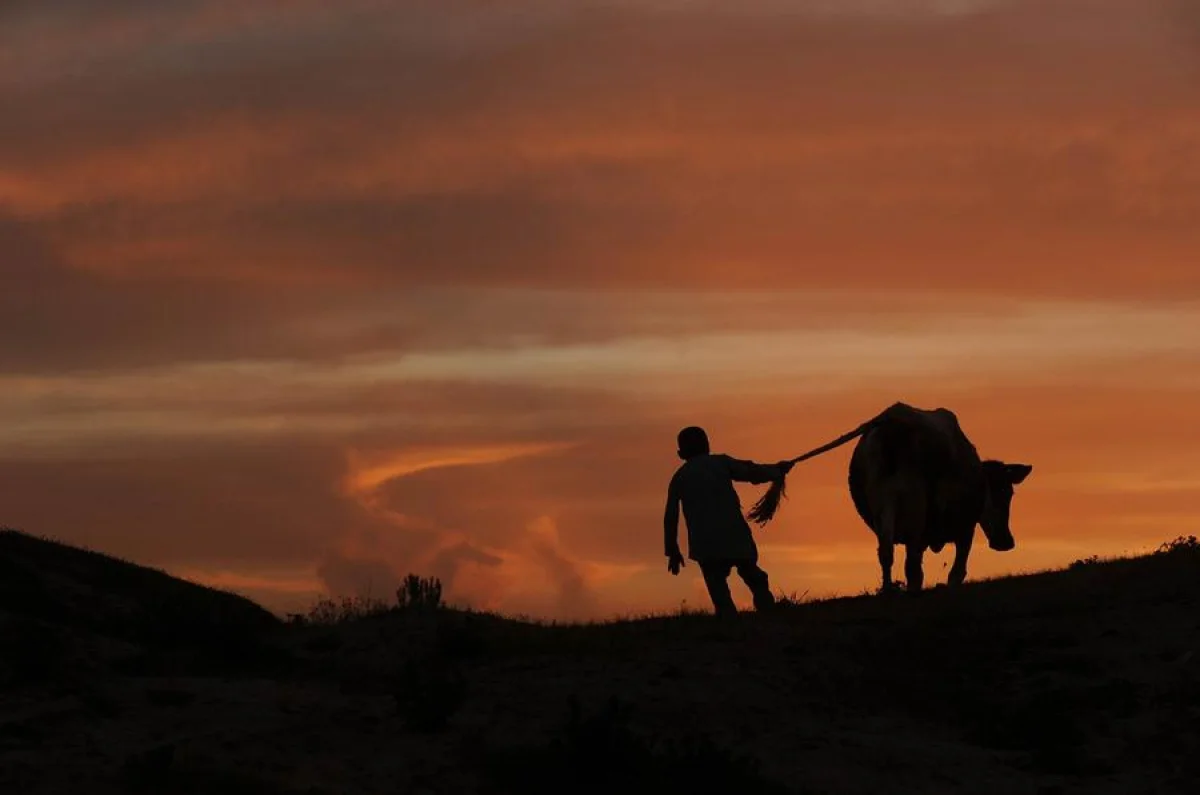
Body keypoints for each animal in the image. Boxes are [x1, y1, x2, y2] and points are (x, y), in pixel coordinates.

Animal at [844, 405, 1032, 590]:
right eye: (1005, 491)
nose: (1006, 542)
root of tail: (890, 419)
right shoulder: (965, 525)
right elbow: (957, 572)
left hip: (883, 508)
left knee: (887, 554)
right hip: (915, 512)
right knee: (912, 567)